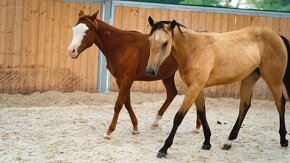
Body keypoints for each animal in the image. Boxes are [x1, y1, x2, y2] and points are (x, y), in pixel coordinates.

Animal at [67, 10, 204, 139]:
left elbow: (118, 104)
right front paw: (135, 127)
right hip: (167, 75)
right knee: (173, 93)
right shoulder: (120, 79)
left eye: (86, 31)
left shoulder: (128, 78)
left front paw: (109, 131)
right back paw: (158, 122)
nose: (71, 51)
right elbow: (127, 103)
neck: (121, 46)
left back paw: (197, 127)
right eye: (74, 30)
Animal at [146, 16, 288, 158]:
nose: (150, 71)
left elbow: (179, 117)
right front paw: (207, 142)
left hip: (273, 80)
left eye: (165, 43)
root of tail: (277, 36)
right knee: (245, 106)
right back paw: (229, 141)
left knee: (280, 103)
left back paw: (283, 140)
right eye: (149, 41)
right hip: (249, 79)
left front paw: (164, 149)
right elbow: (202, 112)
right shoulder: (195, 87)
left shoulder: (195, 86)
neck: (194, 49)